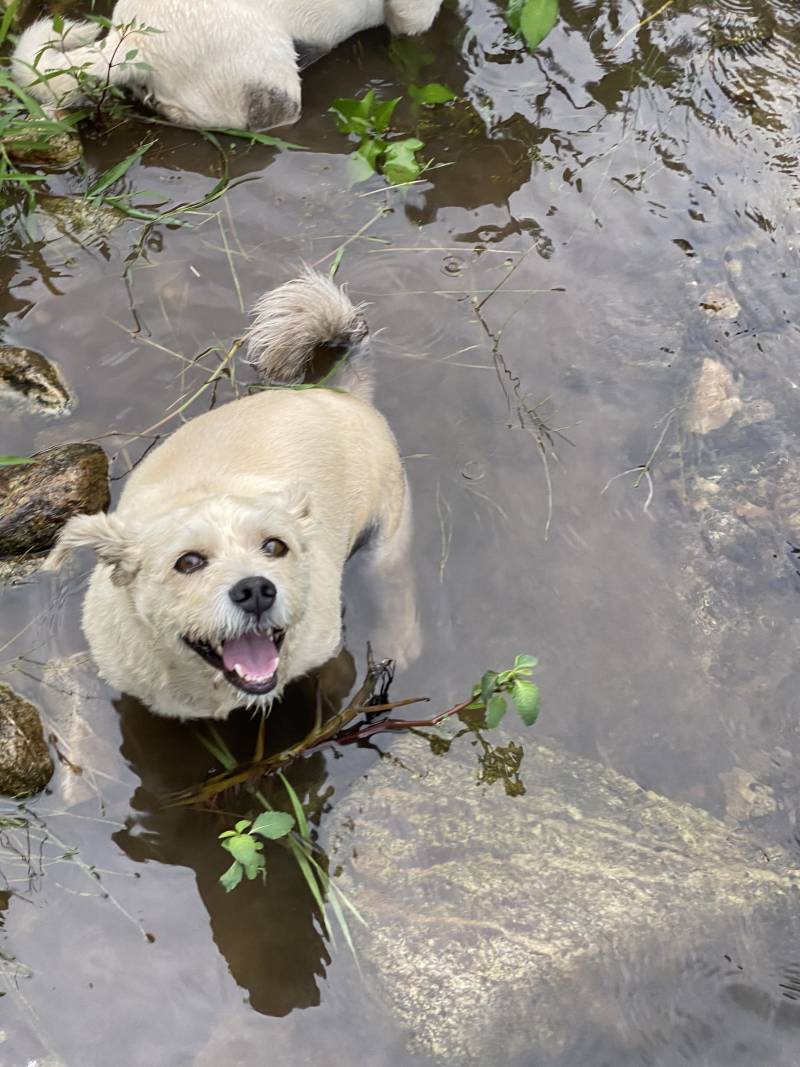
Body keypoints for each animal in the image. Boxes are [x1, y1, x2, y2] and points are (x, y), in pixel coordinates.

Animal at [45, 271, 420, 721]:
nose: (256, 590)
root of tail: (341, 394)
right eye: (187, 562)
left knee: (396, 585)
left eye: (275, 546)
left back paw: (400, 641)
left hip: (388, 538)